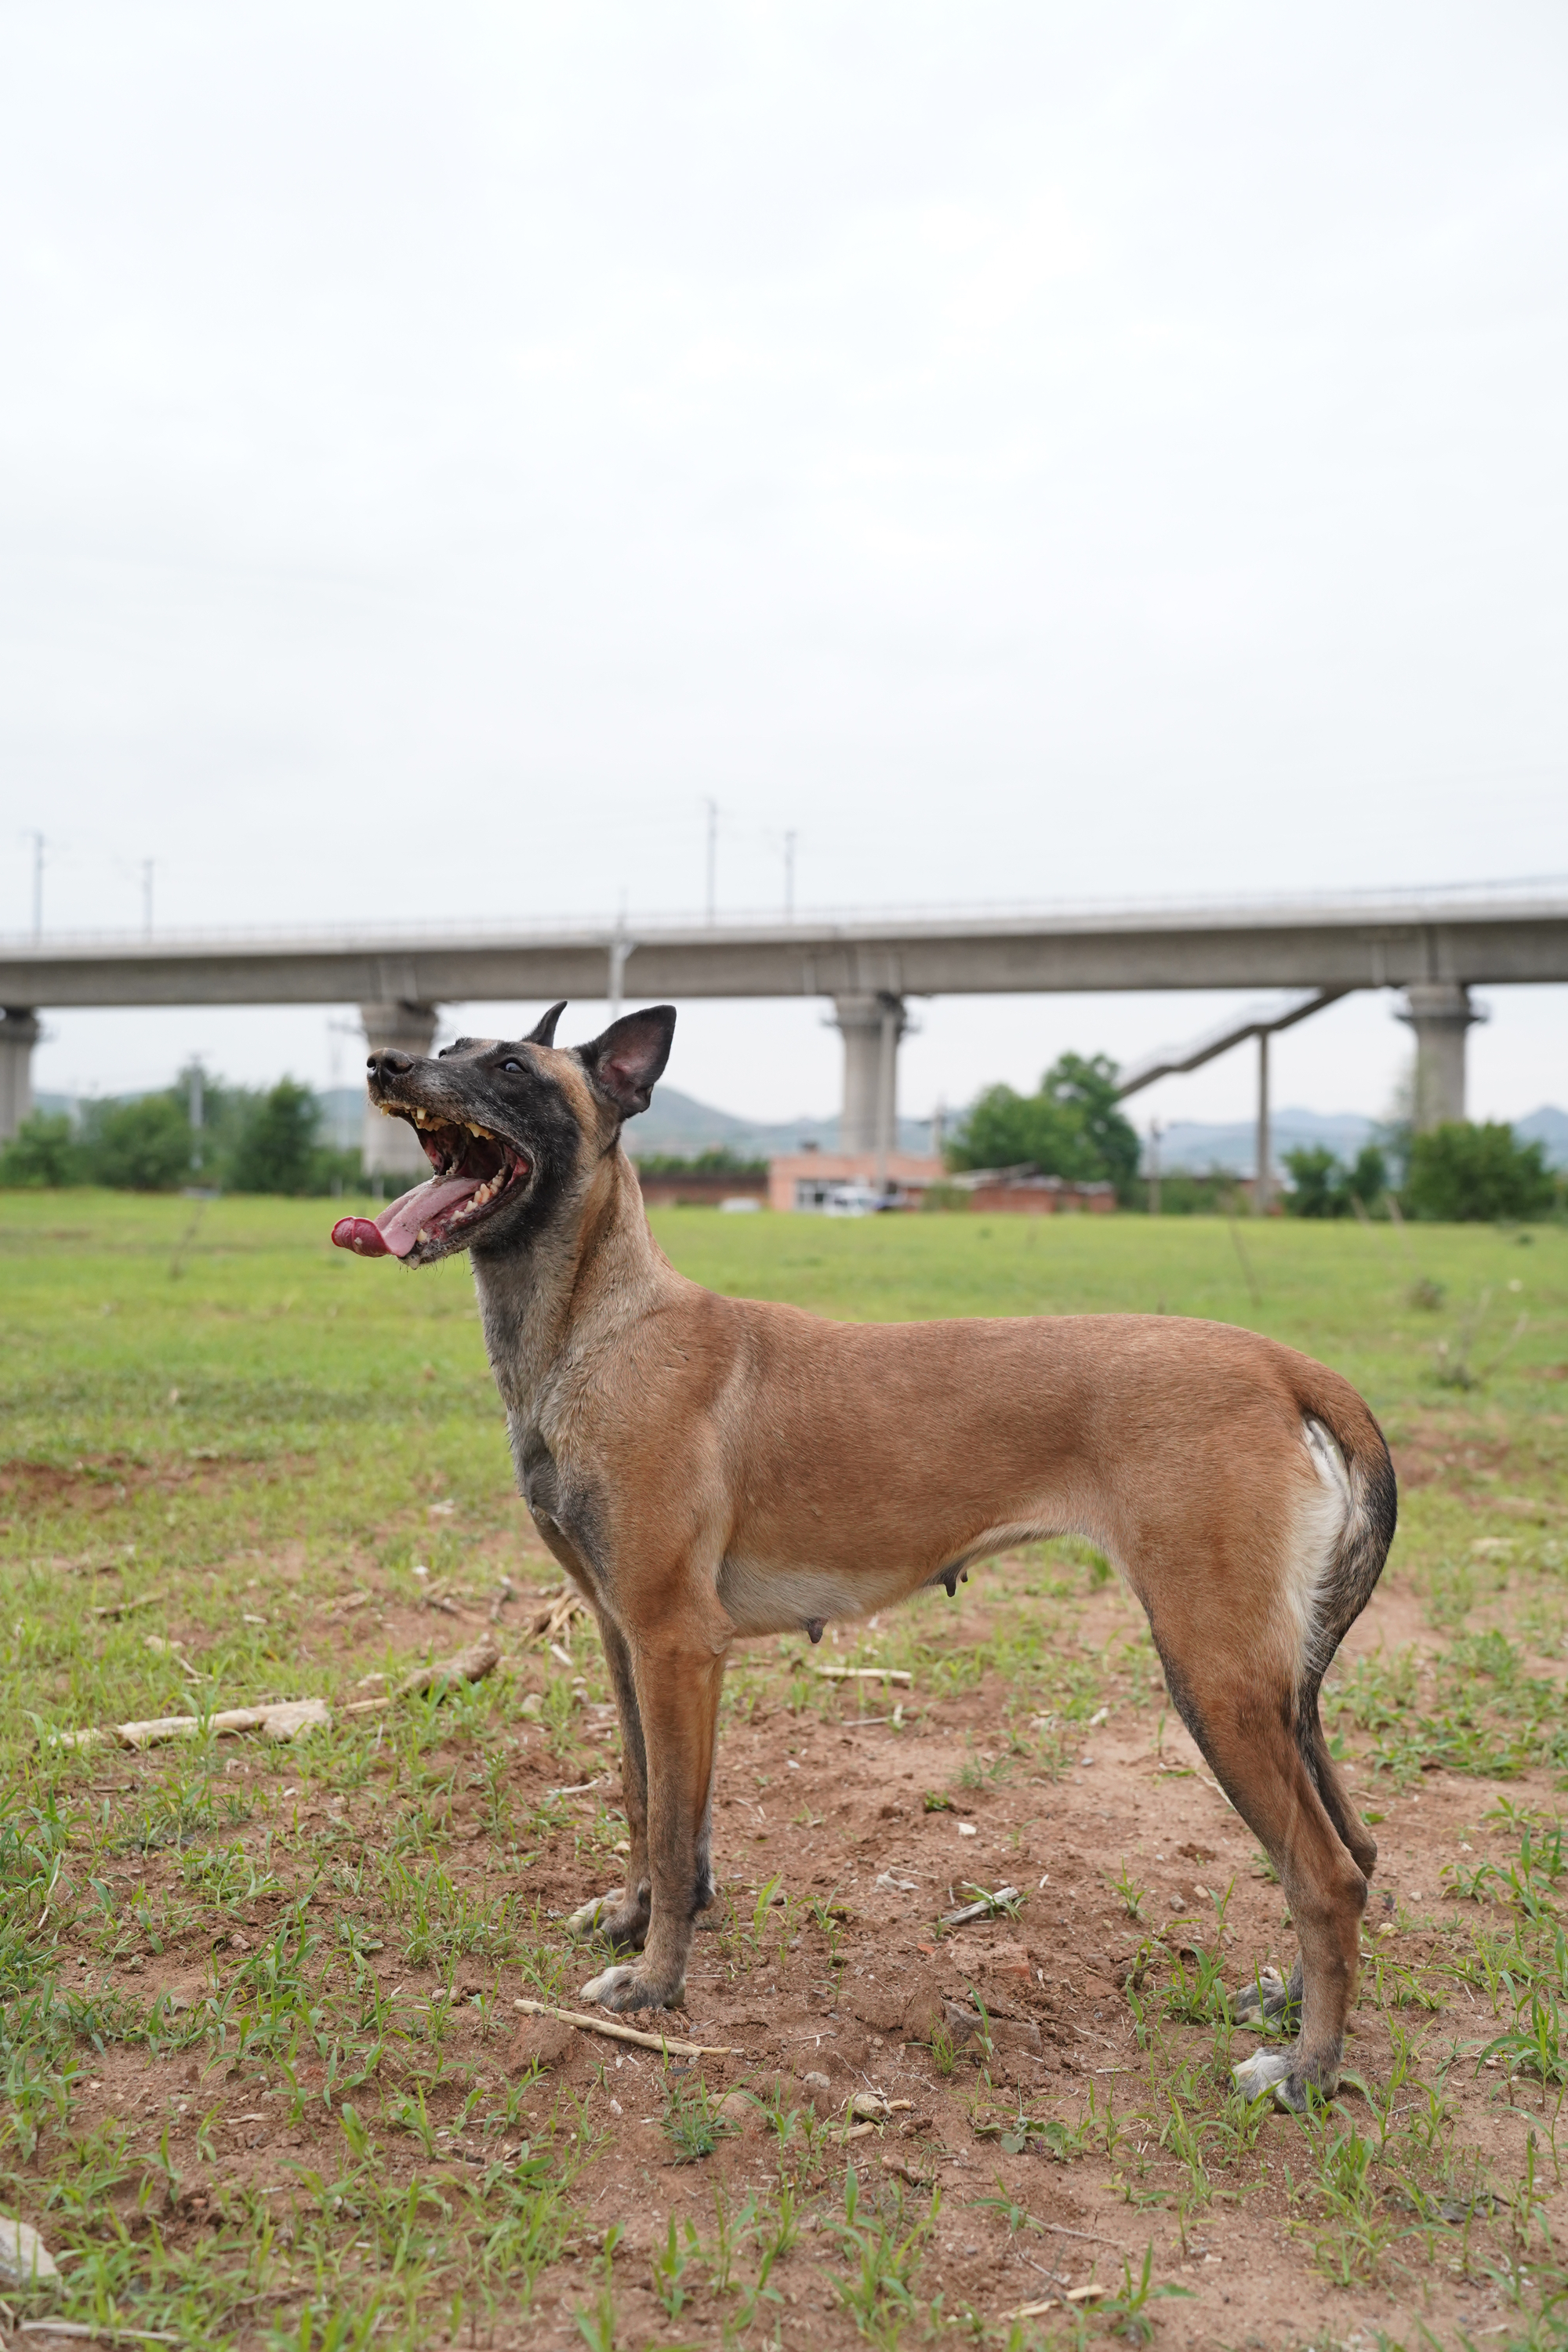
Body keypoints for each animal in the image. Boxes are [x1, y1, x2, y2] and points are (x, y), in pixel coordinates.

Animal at [333, 1002, 1401, 2107]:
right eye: (449, 1046)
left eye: (509, 1067)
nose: (384, 1063)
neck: (601, 1326)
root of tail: (1280, 1364)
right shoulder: (623, 1639)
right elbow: (643, 1801)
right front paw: (632, 1924)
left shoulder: (677, 1646)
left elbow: (672, 1834)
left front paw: (658, 1985)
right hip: (1271, 1687)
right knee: (1354, 1852)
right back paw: (1287, 2004)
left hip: (1212, 1676)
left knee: (1324, 1875)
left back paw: (1308, 2068)